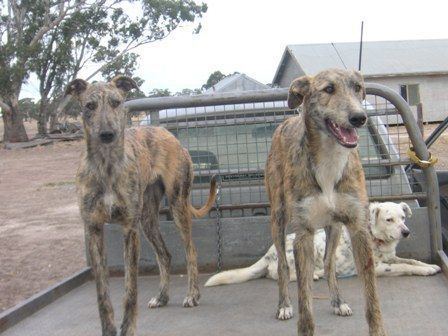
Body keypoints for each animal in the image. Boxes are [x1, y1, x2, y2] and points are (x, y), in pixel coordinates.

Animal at [67, 77, 219, 336]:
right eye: (89, 106)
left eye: (116, 102)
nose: (107, 134)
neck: (107, 165)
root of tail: (168, 134)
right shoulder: (94, 229)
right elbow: (102, 295)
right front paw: (109, 330)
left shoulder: (130, 229)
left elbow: (130, 291)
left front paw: (128, 328)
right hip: (148, 219)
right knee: (165, 255)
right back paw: (162, 296)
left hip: (177, 206)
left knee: (190, 251)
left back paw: (192, 295)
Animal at [206, 202, 440, 286]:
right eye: (389, 219)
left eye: (403, 217)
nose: (406, 232)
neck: (376, 238)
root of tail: (268, 254)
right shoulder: (379, 267)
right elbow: (405, 266)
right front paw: (425, 271)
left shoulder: (391, 257)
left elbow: (412, 260)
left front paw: (430, 265)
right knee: (280, 275)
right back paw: (316, 274)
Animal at [264, 69, 386, 336]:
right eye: (328, 89)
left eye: (357, 87)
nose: (359, 118)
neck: (330, 158)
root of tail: (286, 121)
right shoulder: (303, 234)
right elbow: (305, 302)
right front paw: (302, 322)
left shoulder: (358, 228)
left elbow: (372, 300)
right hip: (277, 219)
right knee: (282, 266)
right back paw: (284, 305)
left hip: (335, 227)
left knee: (329, 264)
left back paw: (338, 301)